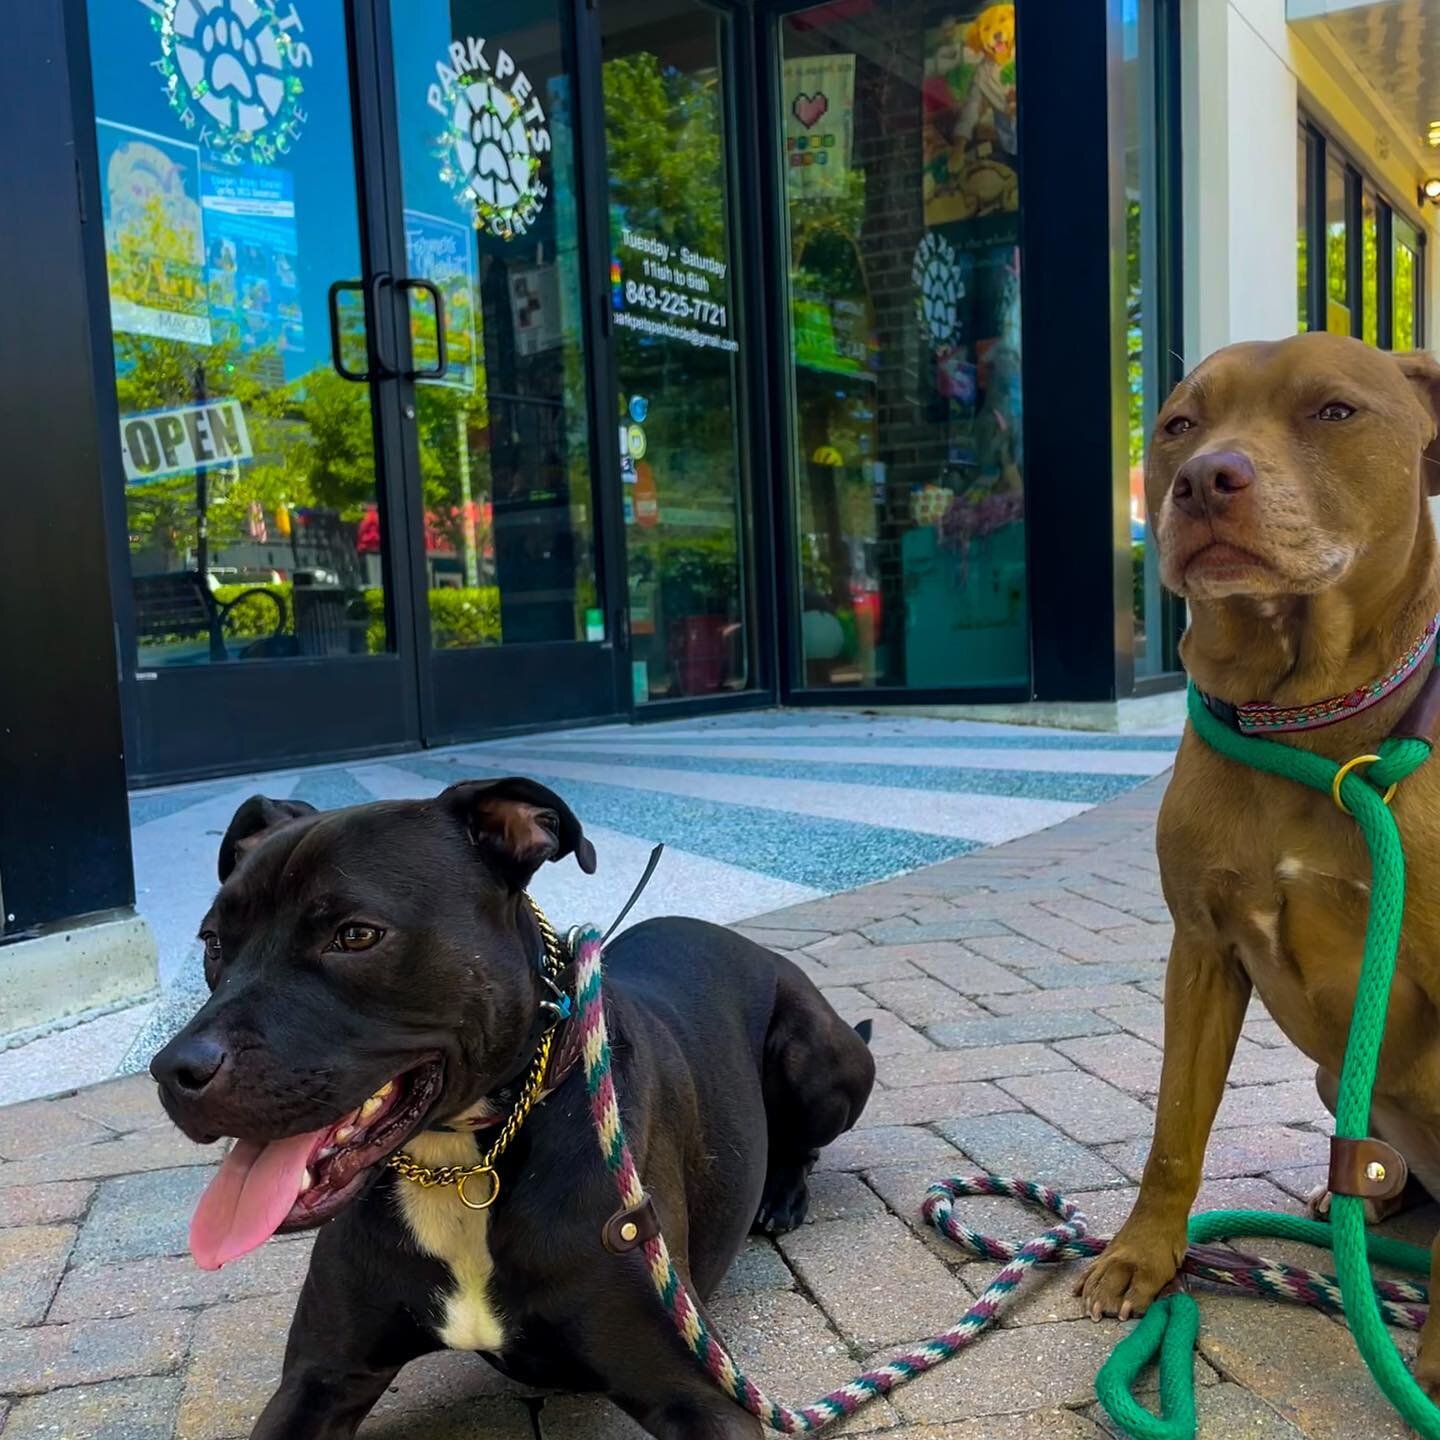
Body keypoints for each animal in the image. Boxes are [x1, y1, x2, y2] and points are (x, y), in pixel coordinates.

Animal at [157, 783, 875, 1434]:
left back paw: (781, 1193)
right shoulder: (320, 1378)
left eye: (355, 935)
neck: (460, 1159)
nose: (172, 1071)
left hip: (815, 1059)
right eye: (212, 941)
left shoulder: (698, 1394)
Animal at [1077, 331, 1440, 1388]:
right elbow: (1172, 1131)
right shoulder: (1200, 950)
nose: (1204, 479)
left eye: (1334, 411)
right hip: (1336, 1080)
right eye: (1177, 424)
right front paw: (1143, 1258)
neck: (1311, 728)